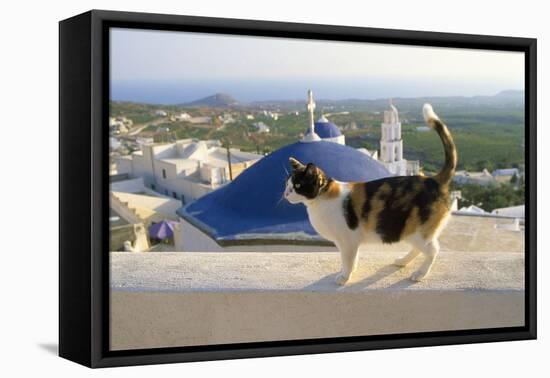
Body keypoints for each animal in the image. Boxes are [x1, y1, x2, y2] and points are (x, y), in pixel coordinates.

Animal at [284, 103, 458, 284]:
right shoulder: (348, 242)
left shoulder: (348, 240)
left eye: (297, 185)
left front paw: (344, 276)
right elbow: (352, 259)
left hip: (419, 231)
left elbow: (348, 259)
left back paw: (420, 274)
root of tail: (434, 180)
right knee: (420, 249)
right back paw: (402, 261)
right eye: (286, 184)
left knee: (433, 250)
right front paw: (350, 271)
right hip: (412, 232)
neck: (321, 199)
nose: (286, 193)